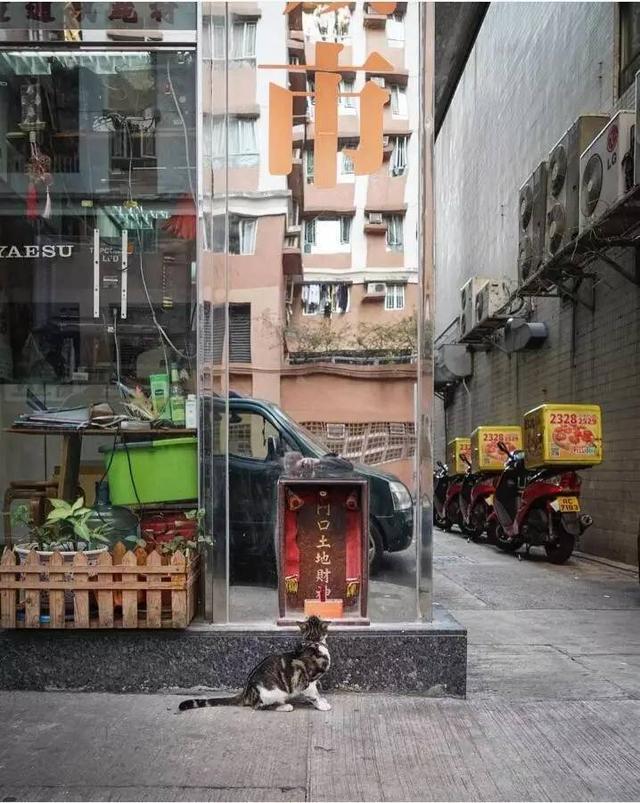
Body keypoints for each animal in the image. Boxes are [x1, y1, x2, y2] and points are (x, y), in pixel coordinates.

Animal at [178, 620, 332, 712]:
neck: (313, 643)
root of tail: (246, 691)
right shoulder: (306, 682)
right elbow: (313, 695)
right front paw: (321, 705)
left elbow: (317, 693)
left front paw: (322, 699)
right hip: (273, 692)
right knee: (259, 706)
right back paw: (284, 706)